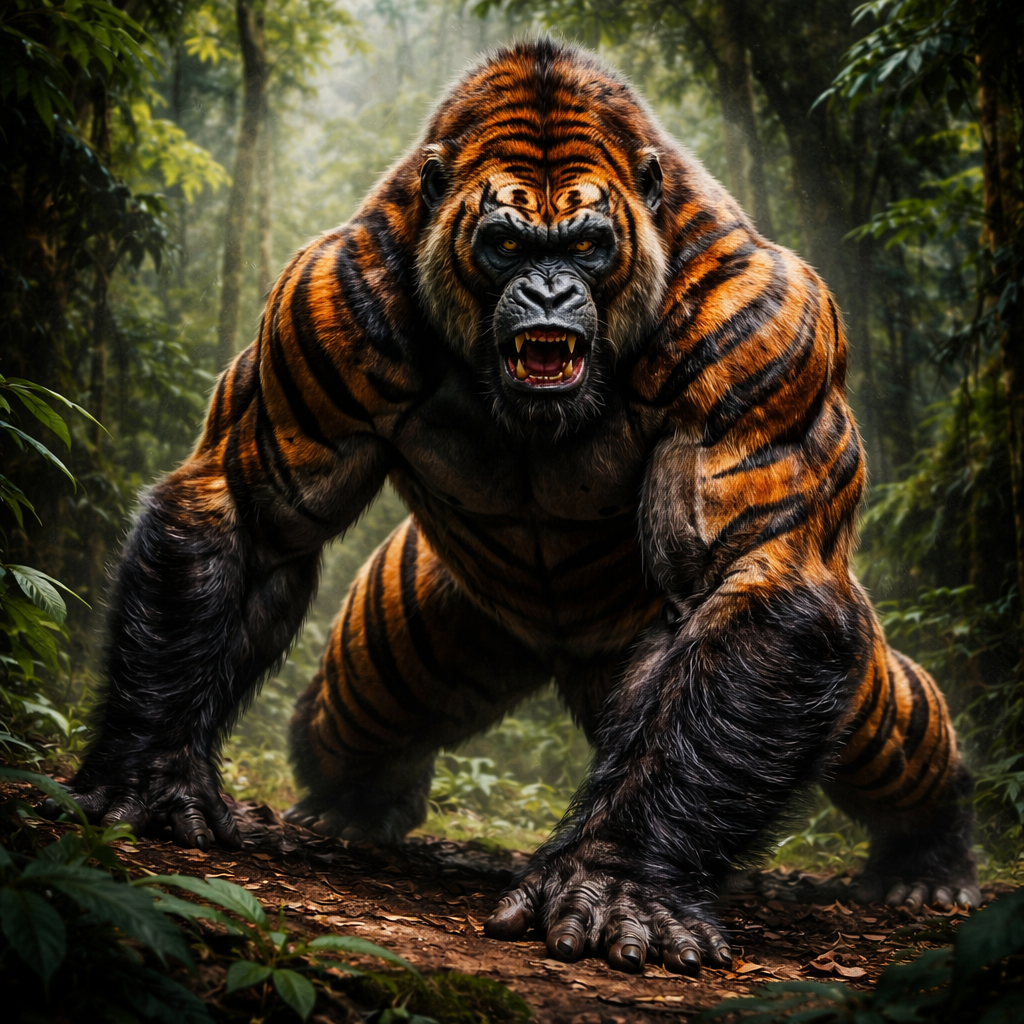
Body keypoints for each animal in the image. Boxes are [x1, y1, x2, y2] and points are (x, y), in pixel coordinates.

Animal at [55, 39, 980, 975]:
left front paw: (619, 882)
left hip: (827, 708)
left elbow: (754, 582)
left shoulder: (769, 345)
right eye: (504, 244)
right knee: (343, 719)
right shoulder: (319, 309)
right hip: (406, 641)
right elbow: (250, 514)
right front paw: (150, 776)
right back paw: (354, 808)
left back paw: (929, 863)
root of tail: (566, 656)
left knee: (896, 730)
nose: (545, 293)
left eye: (588, 245)